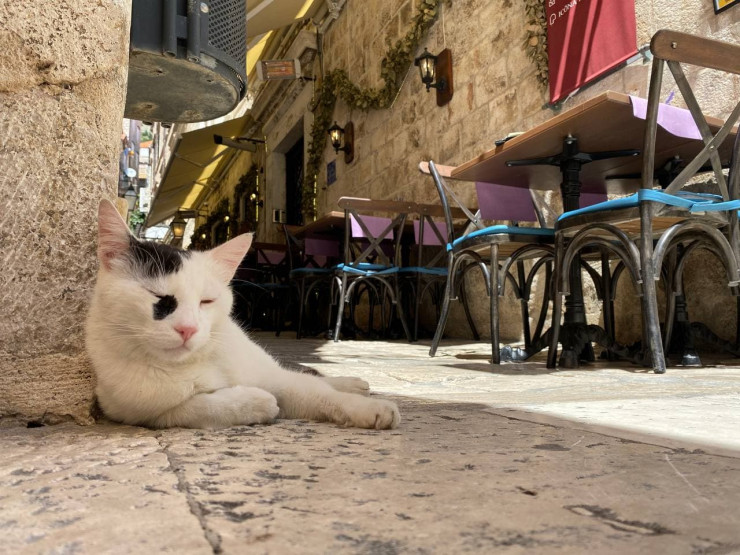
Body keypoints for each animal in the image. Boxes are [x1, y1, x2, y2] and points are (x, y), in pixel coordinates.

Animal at [85, 200, 400, 430]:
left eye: (206, 301)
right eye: (159, 298)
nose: (188, 329)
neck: (188, 366)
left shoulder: (275, 378)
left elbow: (316, 393)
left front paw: (369, 409)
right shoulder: (138, 412)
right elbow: (193, 409)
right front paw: (257, 403)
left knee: (304, 376)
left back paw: (352, 385)